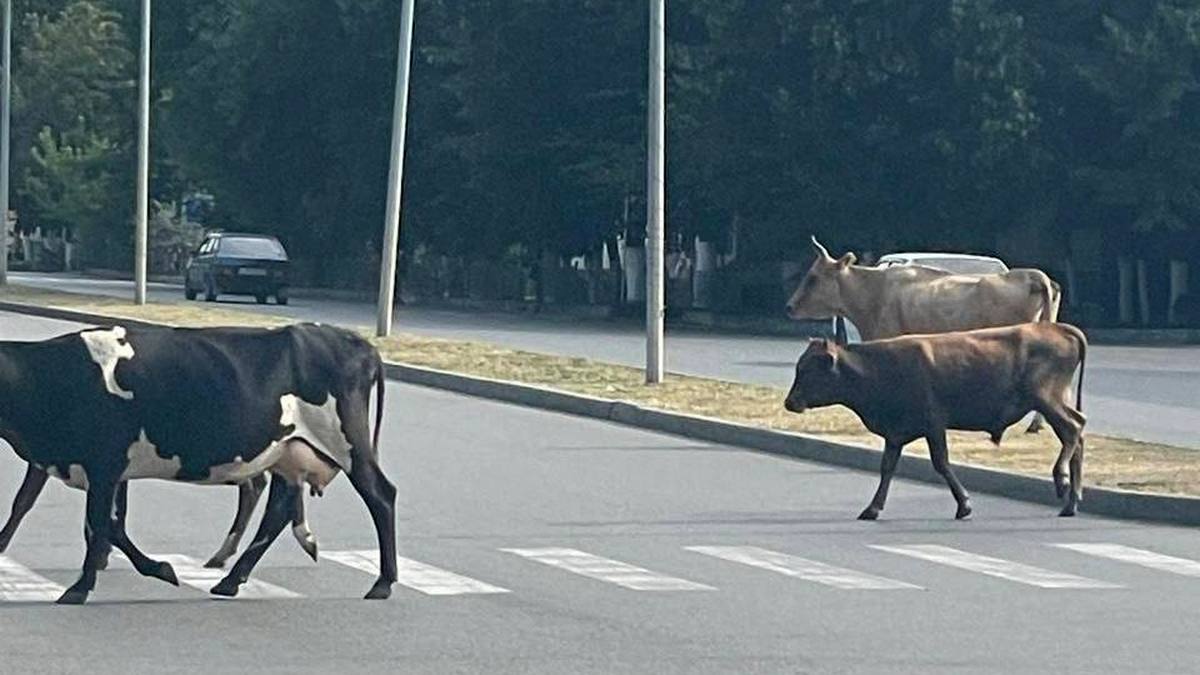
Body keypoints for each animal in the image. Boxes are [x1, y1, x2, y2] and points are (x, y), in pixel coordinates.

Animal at [0, 324, 398, 600]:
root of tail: (354, 341)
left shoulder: (105, 463)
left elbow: (100, 524)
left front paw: (81, 588)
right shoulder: (90, 467)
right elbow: (100, 524)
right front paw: (158, 568)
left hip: (348, 444)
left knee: (381, 495)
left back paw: (384, 582)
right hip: (287, 452)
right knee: (278, 511)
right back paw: (230, 580)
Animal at [782, 319, 1094, 514]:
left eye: (808, 370)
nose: (789, 402)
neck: (879, 367)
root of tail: (1057, 327)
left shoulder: (933, 424)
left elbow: (941, 463)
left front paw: (964, 505)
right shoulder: (896, 433)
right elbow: (887, 467)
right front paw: (872, 508)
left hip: (1047, 399)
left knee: (1073, 429)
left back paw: (1061, 480)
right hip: (1054, 402)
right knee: (1076, 434)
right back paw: (1071, 503)